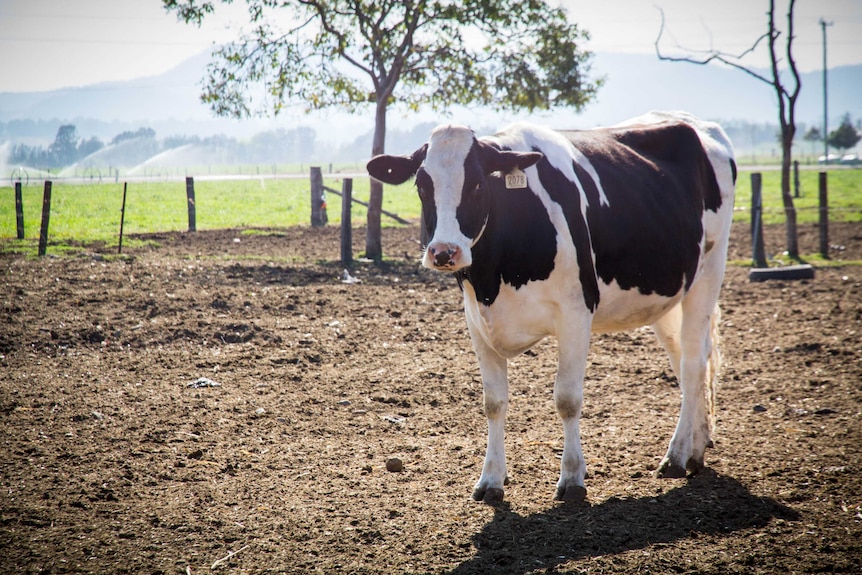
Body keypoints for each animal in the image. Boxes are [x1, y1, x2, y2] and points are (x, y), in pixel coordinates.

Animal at [368, 109, 740, 504]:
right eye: (422, 186)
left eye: (479, 185)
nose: (443, 252)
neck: (495, 277)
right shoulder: (476, 321)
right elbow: (493, 402)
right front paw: (491, 480)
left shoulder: (576, 313)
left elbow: (567, 398)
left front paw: (573, 477)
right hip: (669, 292)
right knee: (687, 361)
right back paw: (696, 447)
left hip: (708, 272)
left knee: (693, 363)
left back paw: (677, 455)